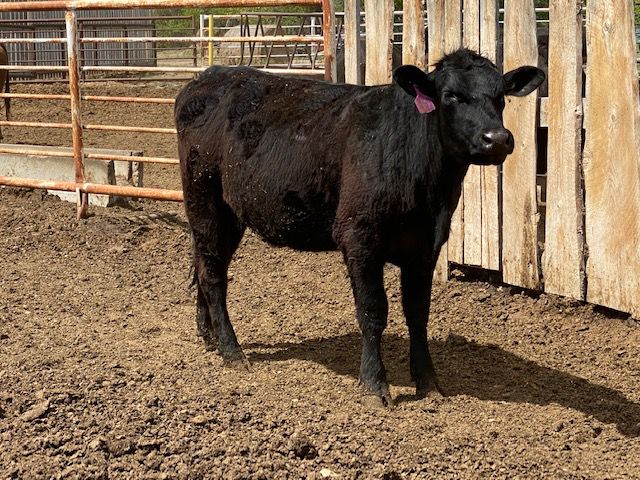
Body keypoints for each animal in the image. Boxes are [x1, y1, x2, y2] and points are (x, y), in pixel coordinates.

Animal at [175, 48, 544, 406]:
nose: (497, 139)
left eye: (500, 96)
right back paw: (231, 351)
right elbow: (372, 311)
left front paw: (428, 383)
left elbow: (418, 314)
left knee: (205, 266)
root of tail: (210, 76)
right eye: (450, 95)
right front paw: (374, 384)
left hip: (229, 213)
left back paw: (208, 335)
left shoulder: (425, 247)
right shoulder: (359, 238)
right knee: (212, 274)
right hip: (204, 199)